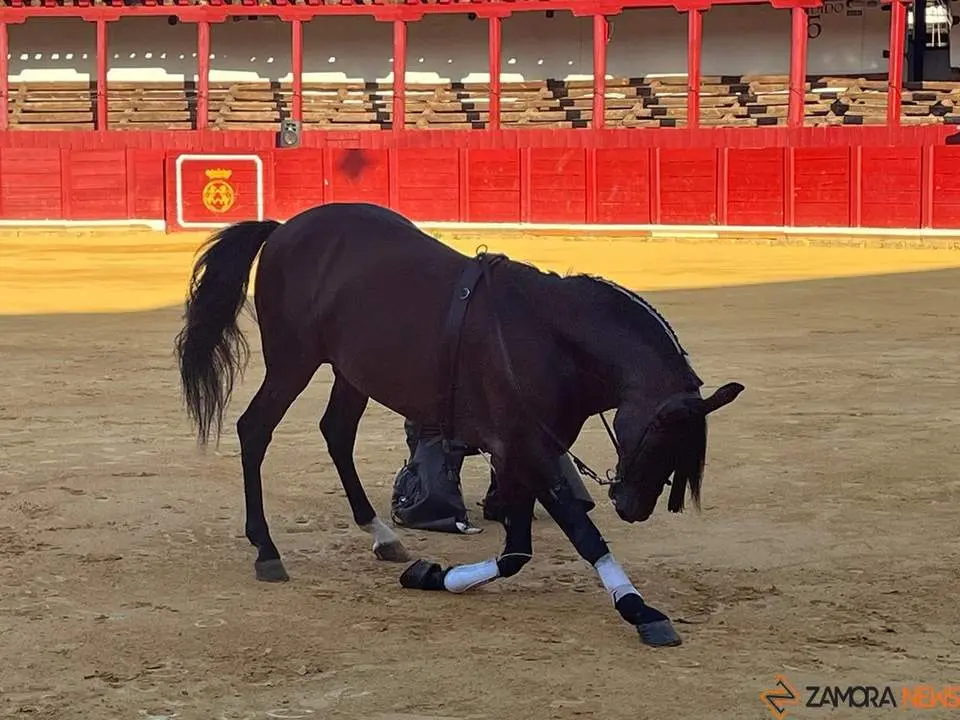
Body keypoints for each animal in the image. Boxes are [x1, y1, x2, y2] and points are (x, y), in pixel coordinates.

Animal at [173, 201, 744, 648]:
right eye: (660, 436)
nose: (632, 507)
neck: (552, 337)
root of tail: (285, 227)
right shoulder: (526, 449)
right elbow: (577, 535)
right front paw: (639, 609)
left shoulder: (518, 454)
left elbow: (517, 549)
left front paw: (435, 575)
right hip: (293, 360)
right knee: (255, 429)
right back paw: (266, 550)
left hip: (351, 372)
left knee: (336, 432)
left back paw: (380, 534)